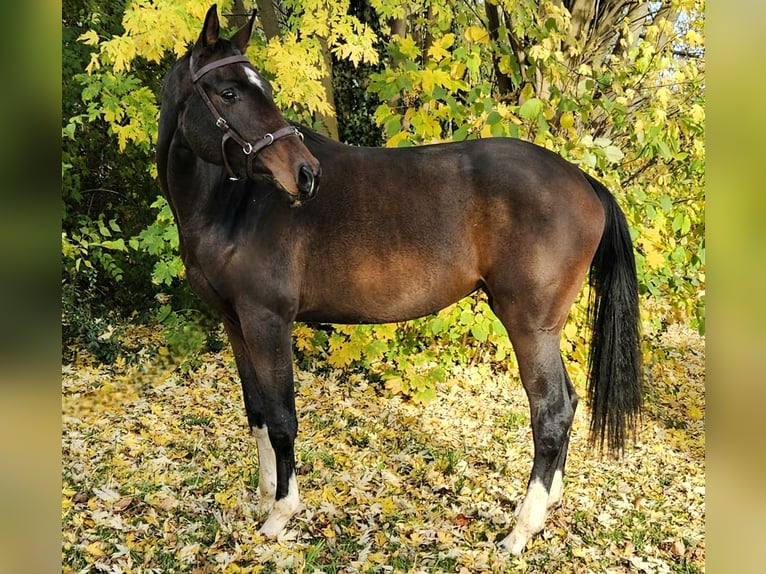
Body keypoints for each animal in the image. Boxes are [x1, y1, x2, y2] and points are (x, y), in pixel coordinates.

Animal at [157, 5, 642, 555]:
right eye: (229, 92)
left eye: (259, 89)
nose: (305, 174)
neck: (232, 204)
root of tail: (583, 180)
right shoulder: (236, 323)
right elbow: (256, 410)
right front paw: (263, 498)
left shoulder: (268, 321)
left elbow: (282, 419)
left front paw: (280, 514)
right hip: (544, 330)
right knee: (568, 404)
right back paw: (548, 507)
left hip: (529, 327)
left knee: (552, 412)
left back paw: (520, 530)